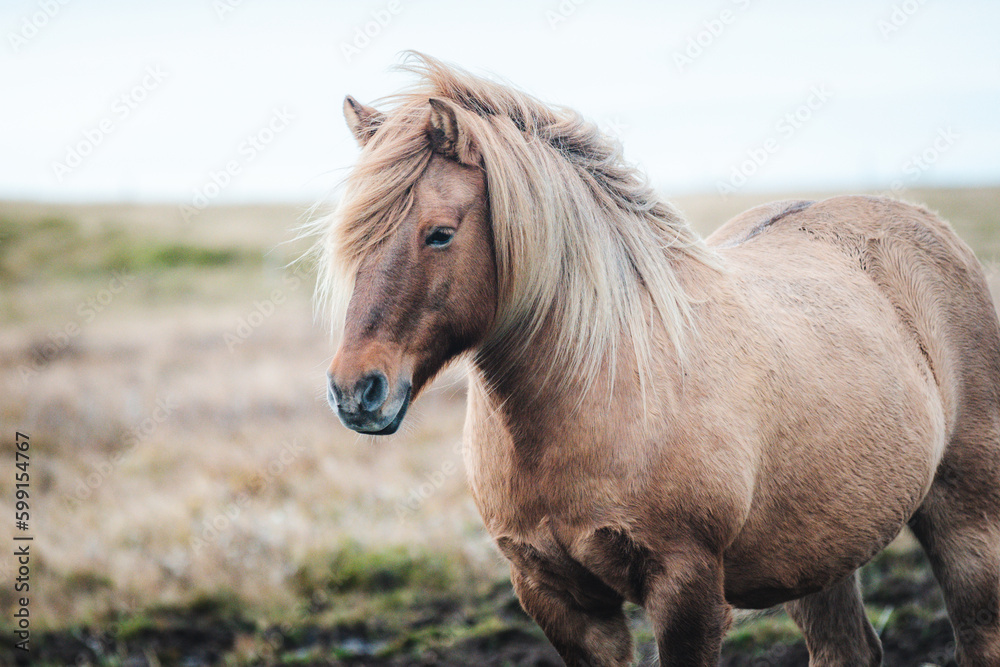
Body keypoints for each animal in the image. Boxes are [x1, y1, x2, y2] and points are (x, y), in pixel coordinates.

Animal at [315, 53, 1000, 666]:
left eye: (440, 234)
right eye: (353, 238)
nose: (356, 391)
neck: (600, 385)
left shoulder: (686, 588)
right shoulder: (560, 600)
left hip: (966, 521)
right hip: (820, 548)